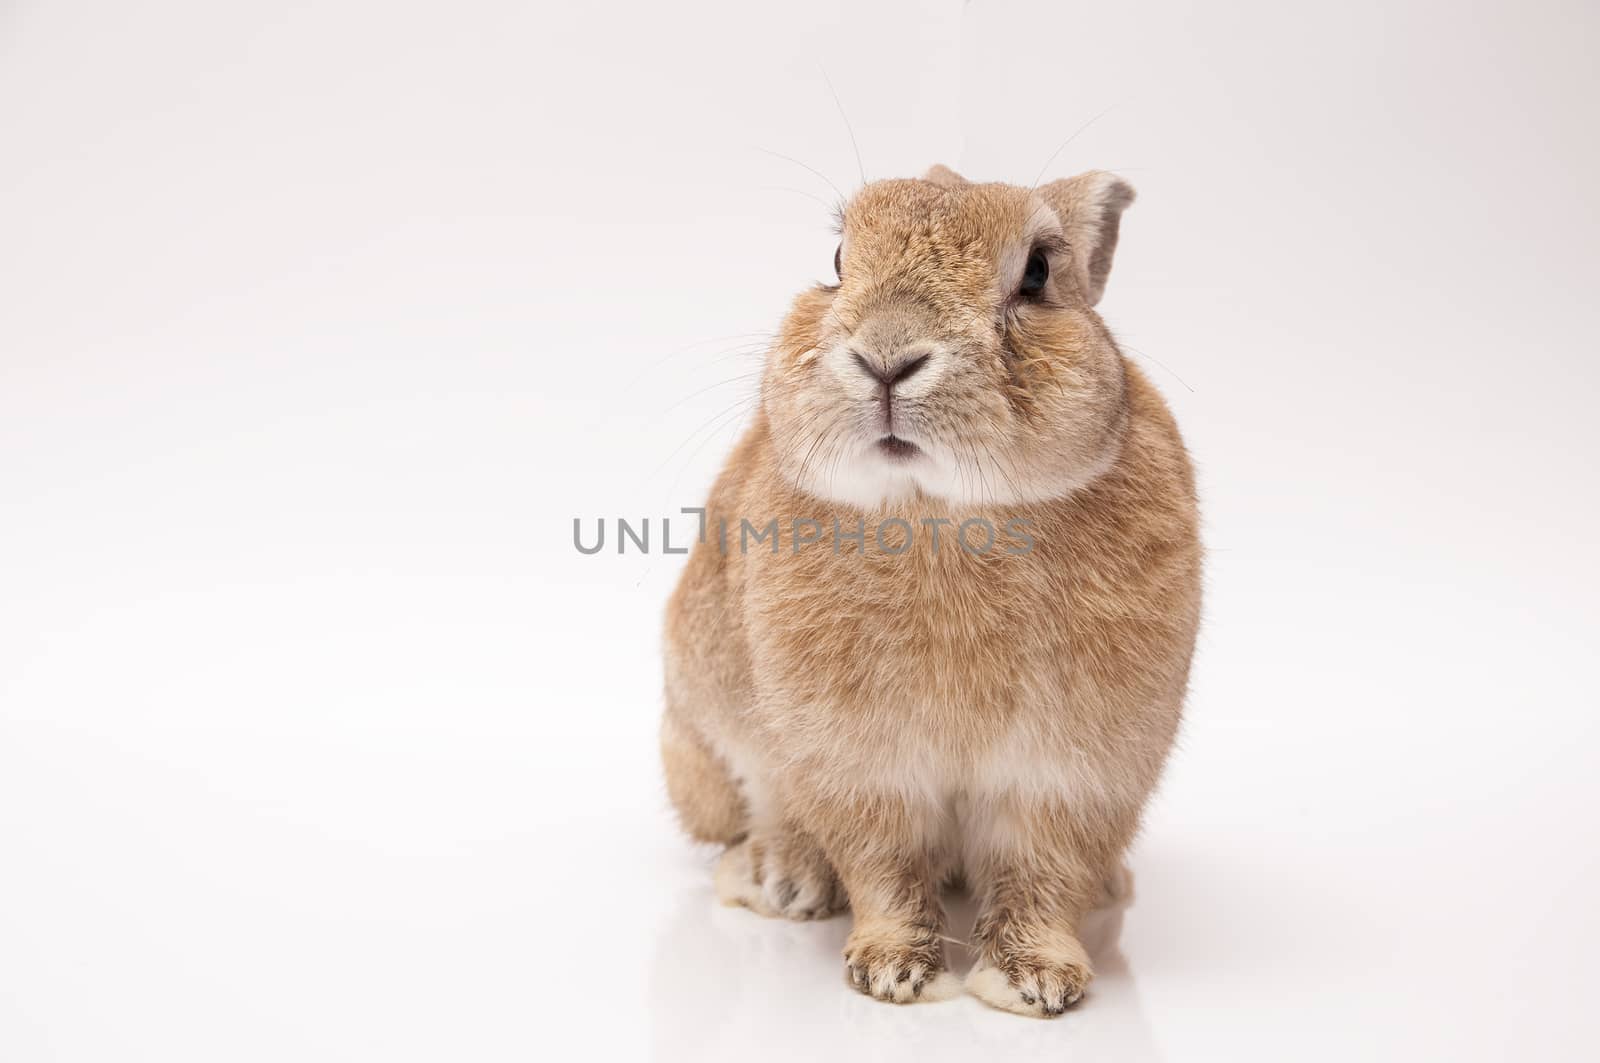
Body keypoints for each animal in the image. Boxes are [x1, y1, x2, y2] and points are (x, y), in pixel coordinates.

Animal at [656, 161, 1196, 1018]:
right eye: (839, 259)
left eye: (1038, 272)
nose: (886, 356)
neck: (939, 508)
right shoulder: (859, 767)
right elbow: (883, 863)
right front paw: (893, 973)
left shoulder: (1075, 775)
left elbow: (1044, 872)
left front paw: (1033, 982)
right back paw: (782, 879)